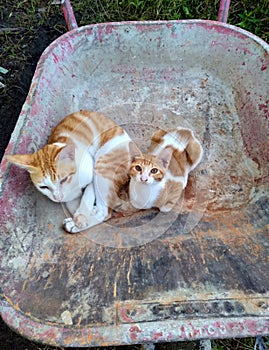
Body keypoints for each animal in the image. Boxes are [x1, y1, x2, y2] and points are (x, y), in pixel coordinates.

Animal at [6, 110, 140, 234]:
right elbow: (73, 203)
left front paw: (80, 219)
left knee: (105, 212)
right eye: (44, 187)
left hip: (103, 164)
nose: (58, 198)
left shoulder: (91, 174)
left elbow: (87, 196)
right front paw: (81, 215)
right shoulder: (68, 196)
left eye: (64, 179)